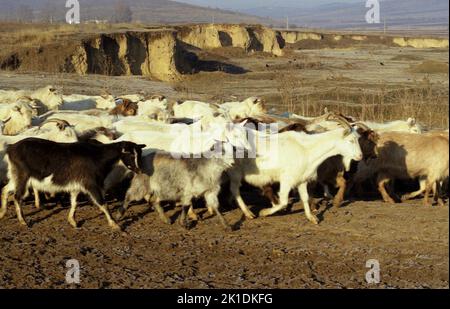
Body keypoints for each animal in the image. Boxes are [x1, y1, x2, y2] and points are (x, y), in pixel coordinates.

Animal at [0, 138, 144, 227]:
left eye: (139, 155)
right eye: (131, 155)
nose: (139, 170)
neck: (97, 155)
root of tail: (11, 148)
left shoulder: (76, 185)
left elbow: (74, 203)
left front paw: (72, 221)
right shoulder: (91, 184)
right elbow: (103, 204)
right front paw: (115, 224)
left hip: (15, 176)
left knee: (5, 190)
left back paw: (2, 213)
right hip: (22, 176)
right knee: (17, 196)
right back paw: (23, 221)